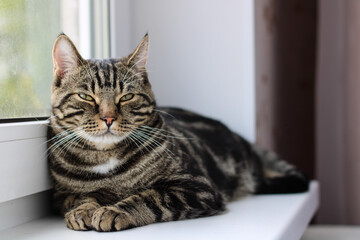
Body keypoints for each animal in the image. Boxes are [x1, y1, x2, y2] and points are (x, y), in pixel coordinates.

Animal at [46, 32, 308, 232]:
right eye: (86, 96)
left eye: (127, 97)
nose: (109, 118)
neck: (106, 159)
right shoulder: (61, 195)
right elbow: (80, 197)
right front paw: (84, 210)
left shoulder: (196, 187)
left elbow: (150, 197)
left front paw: (114, 211)